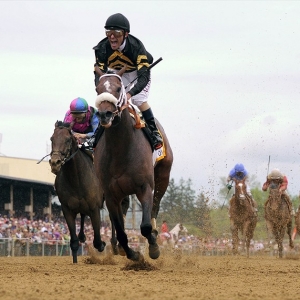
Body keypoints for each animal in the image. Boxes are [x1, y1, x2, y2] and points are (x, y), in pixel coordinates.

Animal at [49, 120, 105, 262]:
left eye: (68, 139)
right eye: (52, 138)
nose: (55, 163)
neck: (76, 178)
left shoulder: (95, 208)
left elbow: (97, 241)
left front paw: (103, 244)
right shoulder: (67, 209)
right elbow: (74, 242)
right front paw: (75, 261)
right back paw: (82, 236)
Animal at [94, 67, 173, 260]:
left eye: (118, 89)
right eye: (97, 89)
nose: (104, 114)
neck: (120, 149)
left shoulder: (144, 187)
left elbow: (144, 226)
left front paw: (153, 248)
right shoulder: (111, 195)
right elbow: (122, 231)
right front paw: (132, 254)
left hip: (163, 176)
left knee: (155, 206)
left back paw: (155, 234)